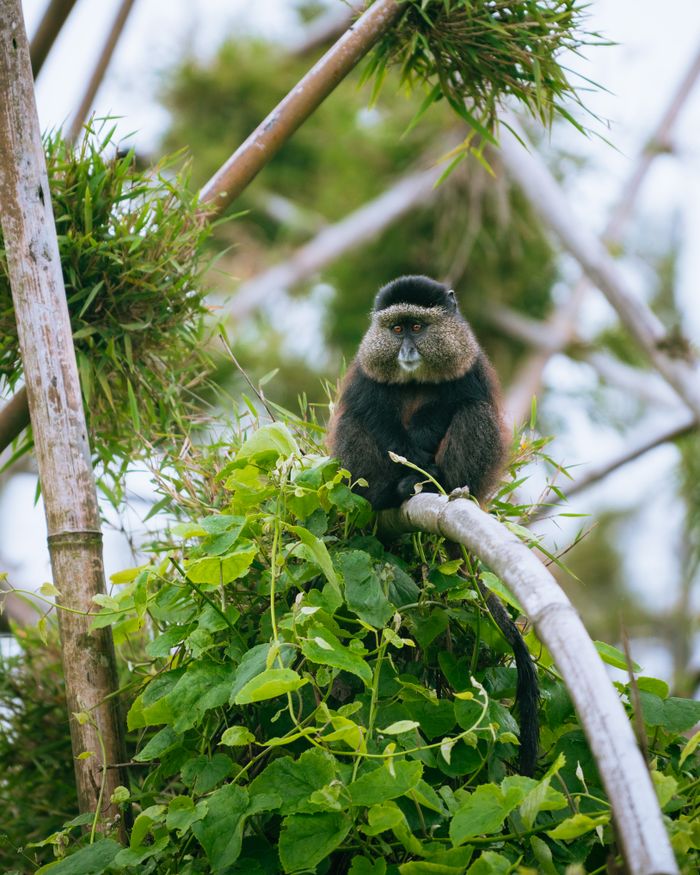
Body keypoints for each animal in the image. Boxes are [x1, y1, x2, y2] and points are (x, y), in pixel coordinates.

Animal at [328, 275, 539, 775]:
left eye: (419, 327)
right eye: (396, 327)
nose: (406, 348)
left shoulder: (471, 366)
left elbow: (457, 403)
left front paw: (422, 456)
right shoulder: (366, 373)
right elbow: (373, 416)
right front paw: (405, 463)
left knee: (474, 414)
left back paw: (434, 483)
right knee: (353, 424)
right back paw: (391, 492)